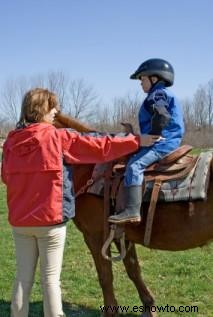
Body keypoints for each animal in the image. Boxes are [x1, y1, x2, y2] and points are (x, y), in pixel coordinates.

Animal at [55, 113, 213, 316]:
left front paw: (110, 311)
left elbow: (105, 275)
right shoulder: (120, 234)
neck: (88, 169)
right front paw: (149, 306)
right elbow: (133, 269)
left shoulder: (94, 235)